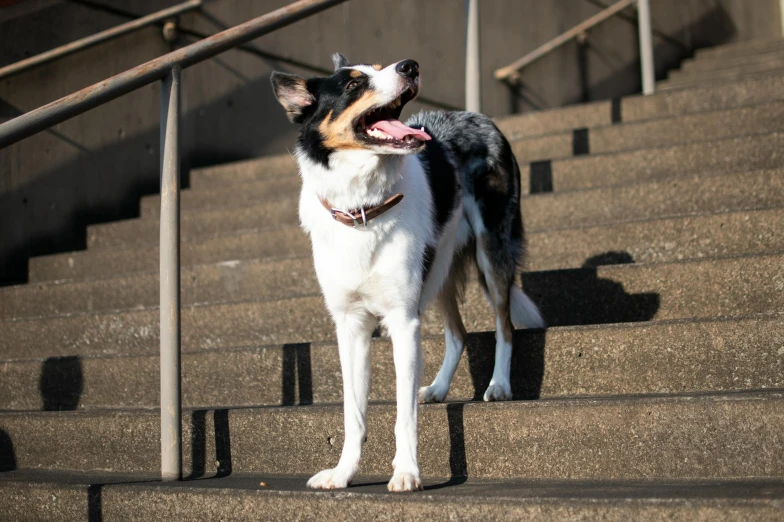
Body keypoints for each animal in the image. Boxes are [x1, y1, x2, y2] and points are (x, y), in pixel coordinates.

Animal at [272, 54, 544, 490]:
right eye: (353, 84)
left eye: (382, 67)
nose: (410, 66)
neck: (363, 208)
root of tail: (474, 115)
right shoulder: (351, 326)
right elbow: (353, 413)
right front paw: (344, 472)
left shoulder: (403, 320)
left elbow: (403, 416)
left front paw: (406, 473)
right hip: (439, 268)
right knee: (458, 333)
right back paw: (438, 387)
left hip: (491, 247)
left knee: (504, 324)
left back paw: (499, 384)